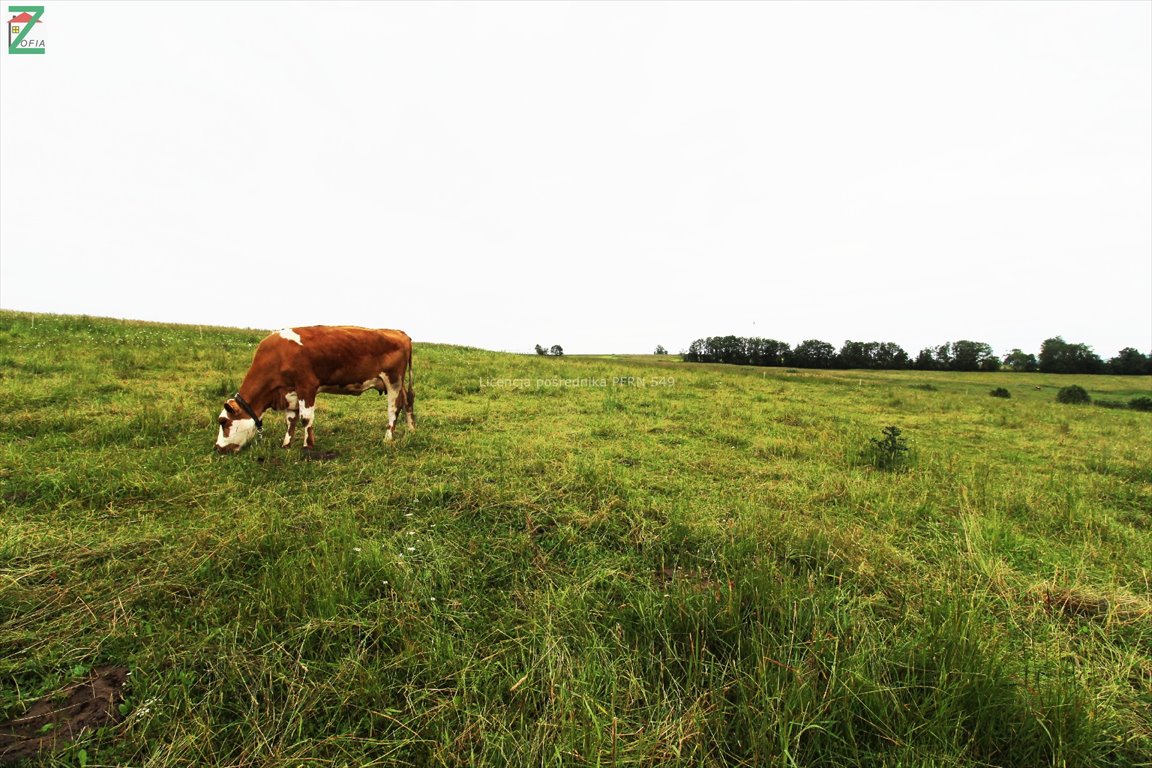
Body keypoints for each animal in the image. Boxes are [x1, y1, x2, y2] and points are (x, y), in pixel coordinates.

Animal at [216, 327, 414, 455]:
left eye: (223, 423)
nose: (217, 448)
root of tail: (398, 332)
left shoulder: (307, 385)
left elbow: (306, 418)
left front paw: (307, 446)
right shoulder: (289, 393)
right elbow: (290, 420)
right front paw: (286, 445)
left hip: (393, 380)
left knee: (394, 408)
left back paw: (388, 438)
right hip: (400, 383)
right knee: (408, 401)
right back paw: (411, 430)